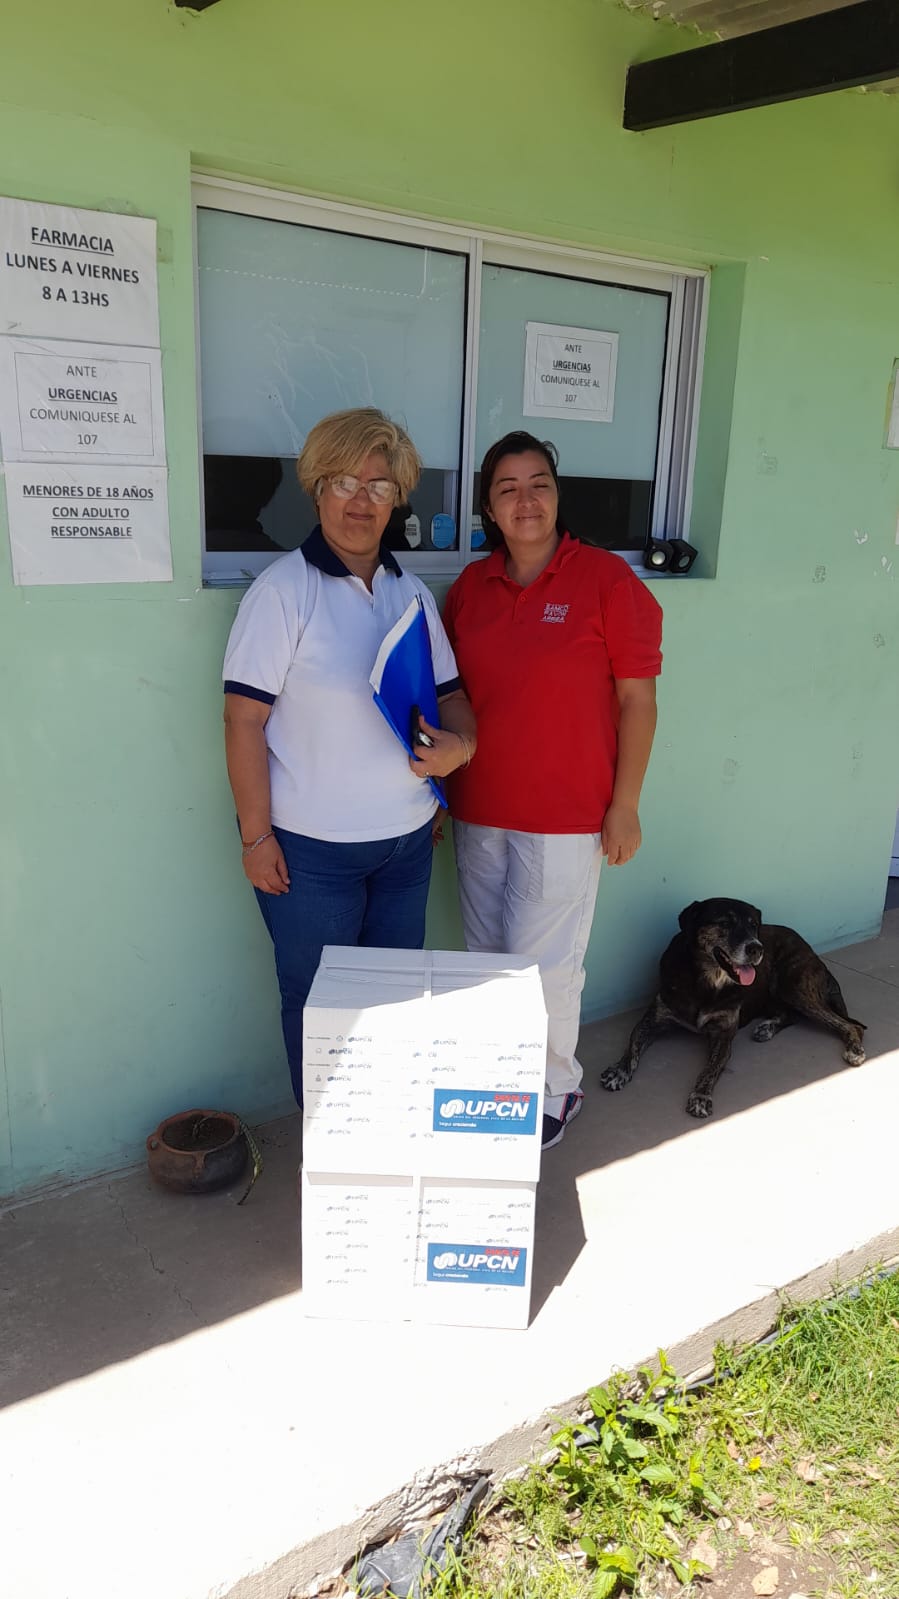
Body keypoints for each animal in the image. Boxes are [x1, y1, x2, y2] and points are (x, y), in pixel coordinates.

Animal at [600, 897, 866, 1119]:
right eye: (725, 923)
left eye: (753, 925)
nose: (756, 948)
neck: (707, 982)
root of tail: (811, 950)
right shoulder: (654, 1018)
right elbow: (632, 1045)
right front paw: (619, 1071)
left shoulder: (724, 1034)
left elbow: (711, 1068)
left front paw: (700, 1096)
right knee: (792, 1014)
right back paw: (767, 1028)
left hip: (793, 986)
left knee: (850, 1025)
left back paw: (854, 1050)